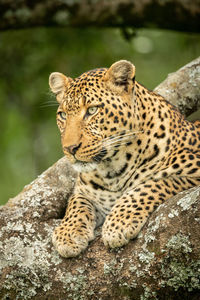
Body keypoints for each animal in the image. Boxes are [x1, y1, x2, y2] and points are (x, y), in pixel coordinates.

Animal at [48, 59, 200, 256]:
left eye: (92, 110)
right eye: (63, 115)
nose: (70, 148)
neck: (112, 170)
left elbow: (151, 185)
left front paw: (118, 223)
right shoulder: (85, 191)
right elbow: (76, 203)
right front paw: (68, 233)